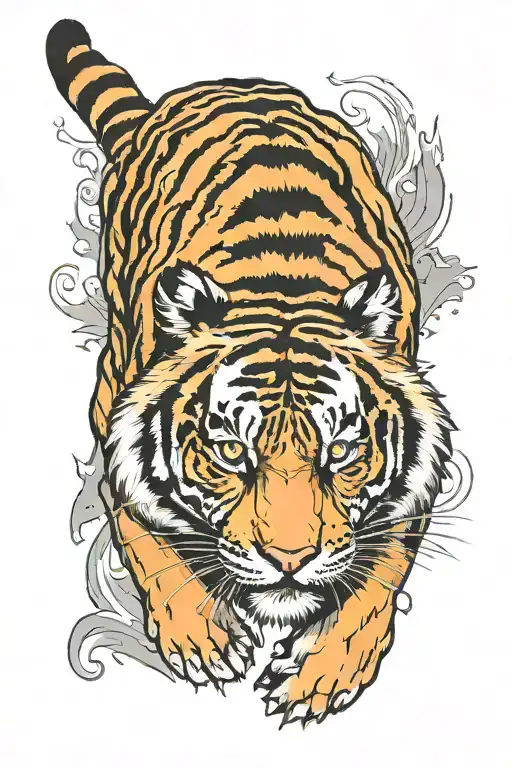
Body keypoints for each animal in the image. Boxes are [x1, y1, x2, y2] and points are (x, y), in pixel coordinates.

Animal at [47, 18, 454, 726]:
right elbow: (143, 527)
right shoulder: (111, 406)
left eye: (341, 453)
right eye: (232, 453)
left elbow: (379, 570)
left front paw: (319, 675)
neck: (284, 291)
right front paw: (199, 637)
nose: (290, 562)